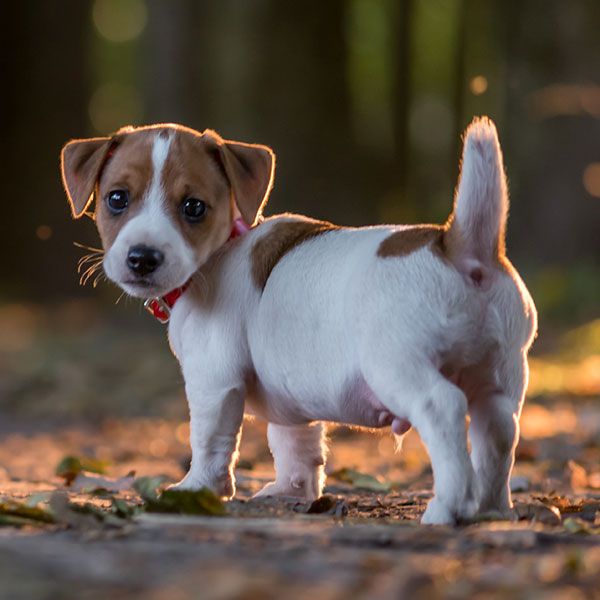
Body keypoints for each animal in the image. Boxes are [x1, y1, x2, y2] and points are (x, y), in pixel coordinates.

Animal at [62, 119, 540, 524]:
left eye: (194, 207)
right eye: (117, 198)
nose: (142, 258)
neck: (221, 252)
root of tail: (461, 250)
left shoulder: (214, 380)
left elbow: (211, 441)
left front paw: (197, 489)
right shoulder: (292, 406)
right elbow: (295, 446)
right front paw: (293, 491)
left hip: (399, 368)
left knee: (444, 408)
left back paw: (450, 507)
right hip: (499, 377)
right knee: (498, 432)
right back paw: (491, 508)